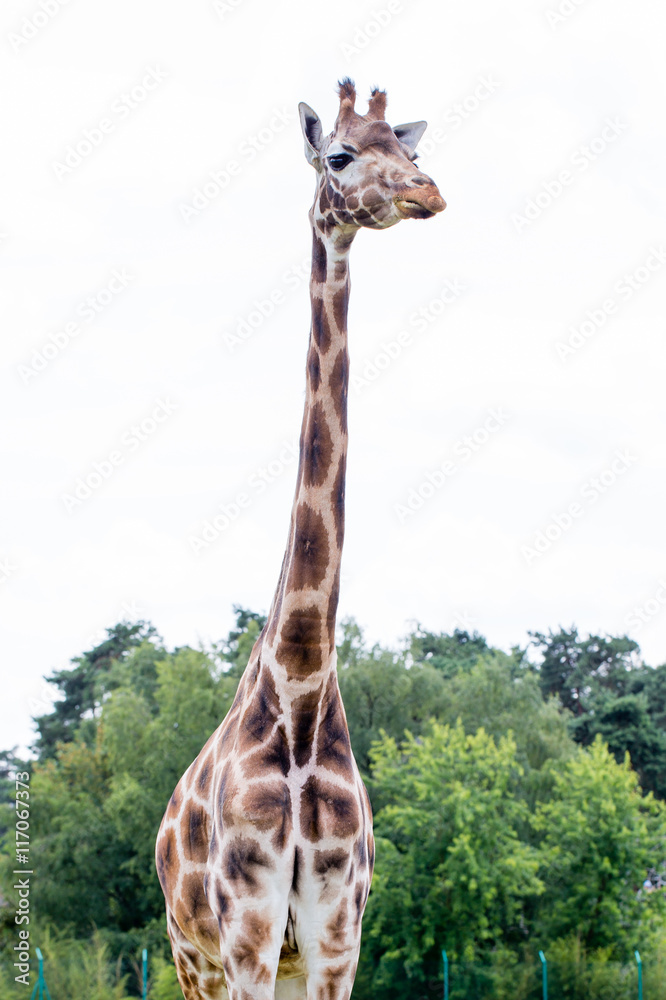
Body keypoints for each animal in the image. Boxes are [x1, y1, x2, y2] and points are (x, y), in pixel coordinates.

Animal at [155, 78, 445, 1000]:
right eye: (340, 155)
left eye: (411, 150)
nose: (428, 193)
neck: (304, 690)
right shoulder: (245, 931)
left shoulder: (333, 933)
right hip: (192, 955)